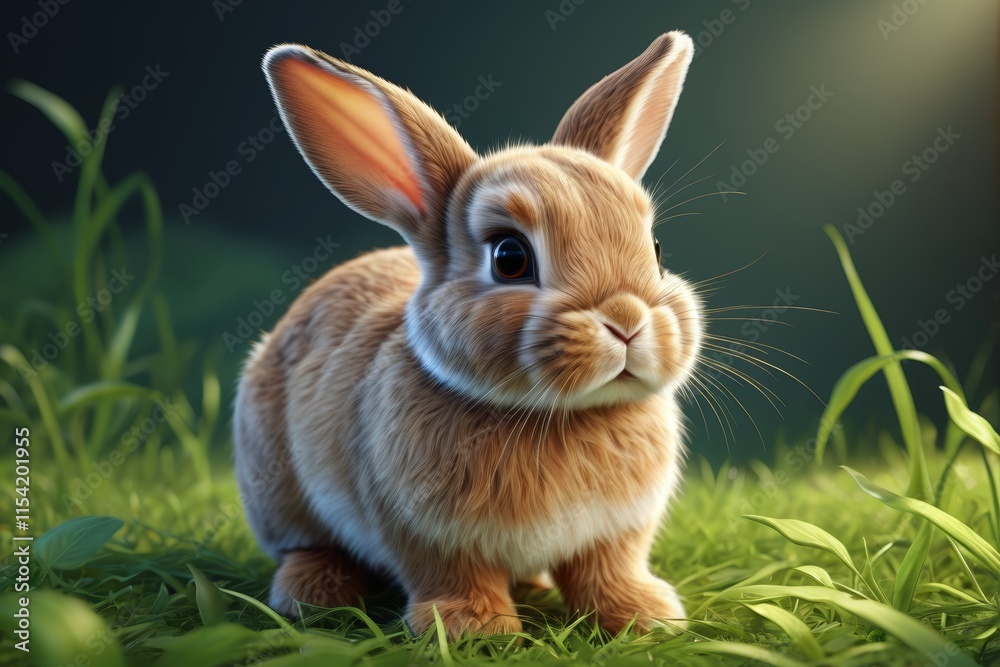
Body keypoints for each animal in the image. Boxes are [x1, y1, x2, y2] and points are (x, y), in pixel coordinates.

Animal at [233, 30, 702, 639]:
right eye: (509, 257)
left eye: (657, 251)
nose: (627, 319)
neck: (557, 415)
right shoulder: (427, 534)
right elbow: (454, 576)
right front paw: (473, 630)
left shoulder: (616, 532)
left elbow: (608, 571)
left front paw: (646, 615)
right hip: (277, 489)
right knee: (305, 545)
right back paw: (313, 595)